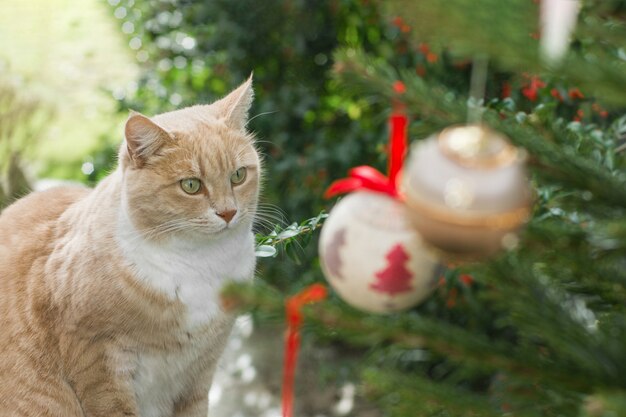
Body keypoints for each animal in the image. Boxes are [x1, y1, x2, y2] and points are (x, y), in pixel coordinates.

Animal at [0, 76, 258, 414]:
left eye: (238, 175)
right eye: (191, 185)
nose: (228, 212)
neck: (201, 264)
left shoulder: (200, 372)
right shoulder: (96, 360)